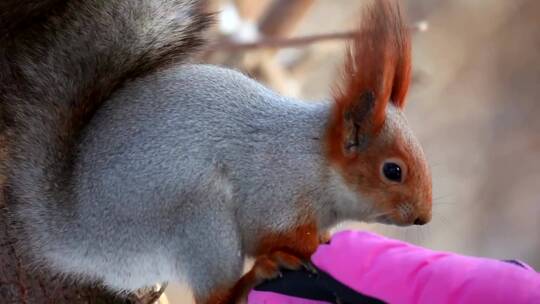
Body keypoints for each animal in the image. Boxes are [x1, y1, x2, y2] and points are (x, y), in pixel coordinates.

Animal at [0, 0, 430, 302]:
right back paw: (253, 277)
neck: (315, 160)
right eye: (393, 170)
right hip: (199, 218)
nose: (423, 218)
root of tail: (75, 235)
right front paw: (306, 249)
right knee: (215, 299)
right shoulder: (276, 191)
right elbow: (273, 233)